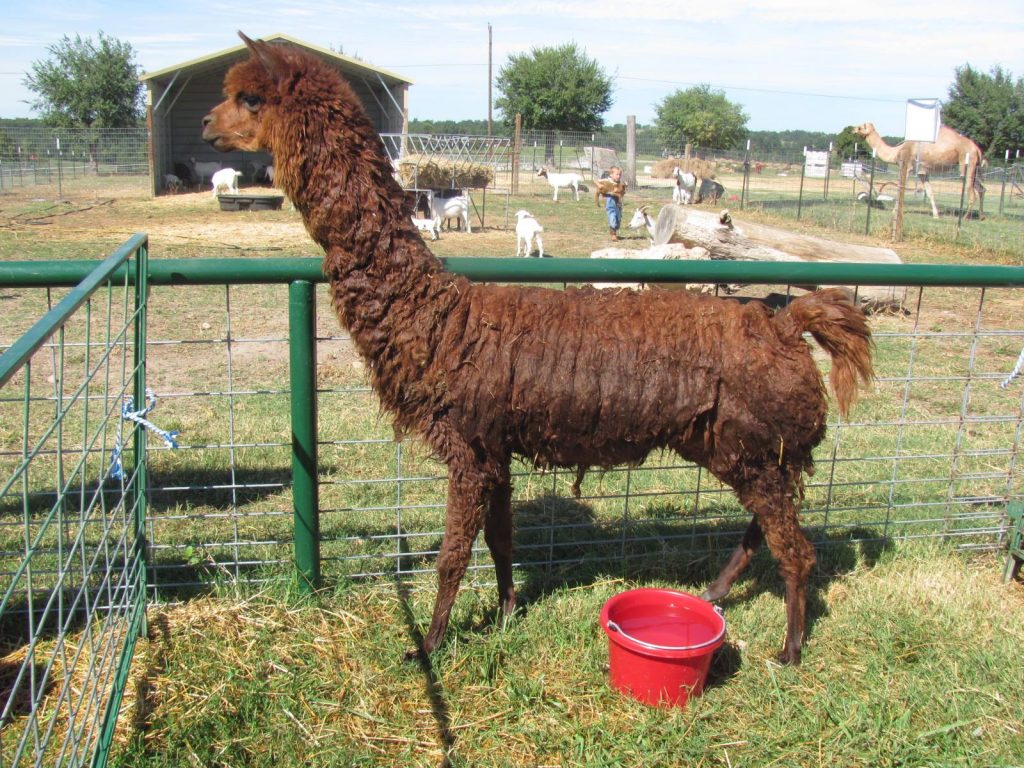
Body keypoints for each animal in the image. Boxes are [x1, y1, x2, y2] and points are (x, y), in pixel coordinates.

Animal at [205, 31, 872, 667]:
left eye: (250, 98)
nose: (209, 125)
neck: (439, 318)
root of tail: (788, 326)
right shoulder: (493, 445)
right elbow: (500, 540)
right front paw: (504, 613)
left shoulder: (468, 446)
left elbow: (453, 555)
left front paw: (429, 644)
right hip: (743, 447)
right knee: (767, 527)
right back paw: (715, 593)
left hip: (752, 448)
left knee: (796, 549)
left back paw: (789, 649)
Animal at [851, 122, 987, 219]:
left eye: (860, 127)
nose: (852, 129)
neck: (897, 151)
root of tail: (976, 148)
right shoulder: (922, 172)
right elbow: (930, 192)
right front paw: (936, 215)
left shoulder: (907, 167)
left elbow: (901, 189)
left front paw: (895, 211)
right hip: (974, 168)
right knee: (982, 189)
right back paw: (981, 217)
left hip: (967, 163)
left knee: (972, 192)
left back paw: (965, 218)